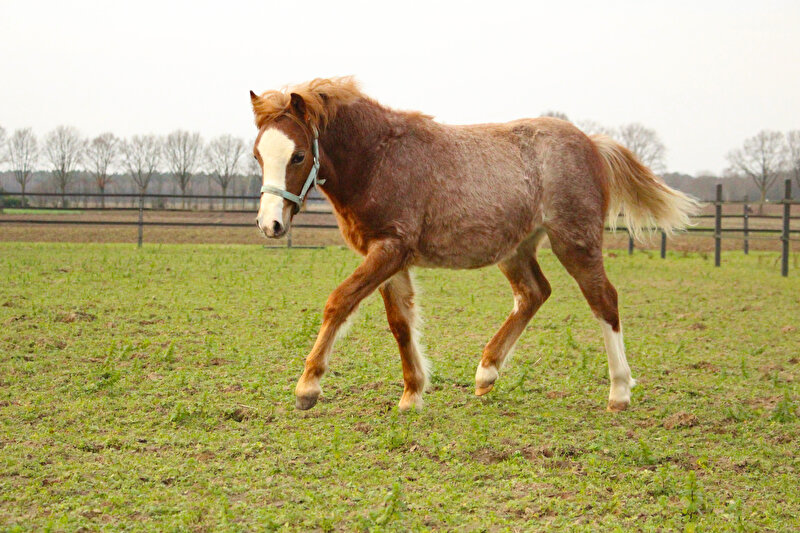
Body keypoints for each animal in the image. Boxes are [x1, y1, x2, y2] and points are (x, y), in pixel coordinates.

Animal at [247, 77, 696, 412]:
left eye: (298, 155)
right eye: (257, 155)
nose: (269, 224)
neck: (379, 159)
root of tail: (591, 142)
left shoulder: (390, 249)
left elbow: (339, 301)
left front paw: (307, 387)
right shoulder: (389, 256)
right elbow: (400, 323)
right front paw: (412, 394)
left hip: (575, 241)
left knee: (604, 299)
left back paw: (619, 392)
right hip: (516, 249)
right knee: (534, 293)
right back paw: (486, 373)